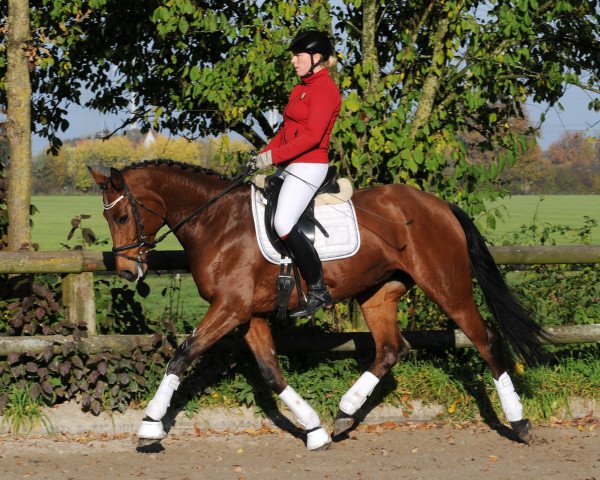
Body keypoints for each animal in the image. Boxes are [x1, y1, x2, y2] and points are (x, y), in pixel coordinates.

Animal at [88, 160, 548, 450]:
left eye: (123, 217)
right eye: (108, 218)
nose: (127, 271)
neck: (217, 222)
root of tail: (437, 205)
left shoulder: (230, 308)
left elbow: (183, 354)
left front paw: (150, 426)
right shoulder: (249, 315)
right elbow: (271, 372)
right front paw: (313, 431)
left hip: (447, 286)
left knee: (486, 340)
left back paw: (520, 423)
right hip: (377, 294)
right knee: (391, 349)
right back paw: (344, 414)